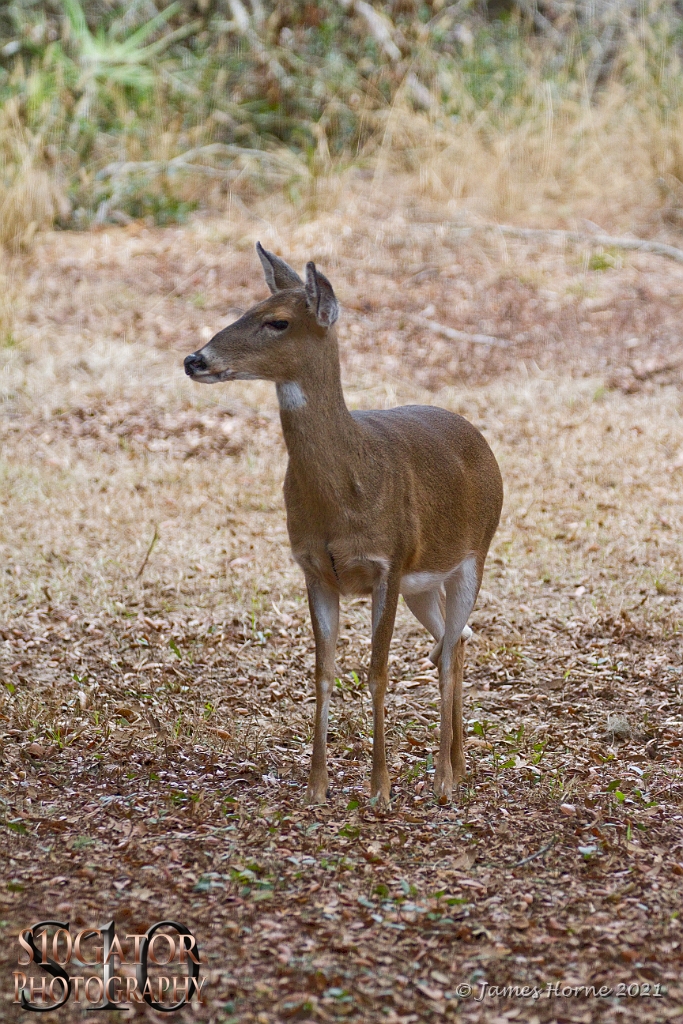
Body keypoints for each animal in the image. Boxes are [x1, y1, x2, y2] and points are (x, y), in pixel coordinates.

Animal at [184, 245, 505, 806]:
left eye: (277, 321)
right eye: (247, 307)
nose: (194, 359)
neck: (347, 492)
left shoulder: (389, 563)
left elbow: (377, 672)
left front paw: (380, 789)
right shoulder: (313, 568)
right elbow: (323, 671)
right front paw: (316, 787)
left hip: (474, 555)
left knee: (447, 649)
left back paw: (443, 781)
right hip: (425, 584)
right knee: (456, 639)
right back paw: (458, 766)